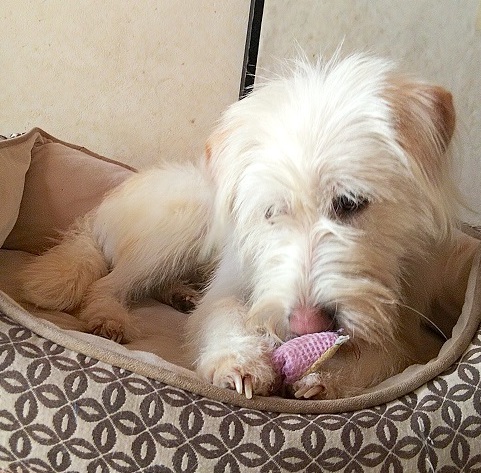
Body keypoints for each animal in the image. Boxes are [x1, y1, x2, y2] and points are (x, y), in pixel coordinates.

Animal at [21, 53, 479, 400]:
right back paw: (111, 317)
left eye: (349, 202)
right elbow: (223, 315)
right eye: (271, 212)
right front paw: (239, 363)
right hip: (184, 220)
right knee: (108, 284)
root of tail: (100, 211)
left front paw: (328, 379)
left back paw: (179, 294)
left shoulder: (407, 328)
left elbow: (387, 353)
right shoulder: (231, 284)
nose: (308, 325)